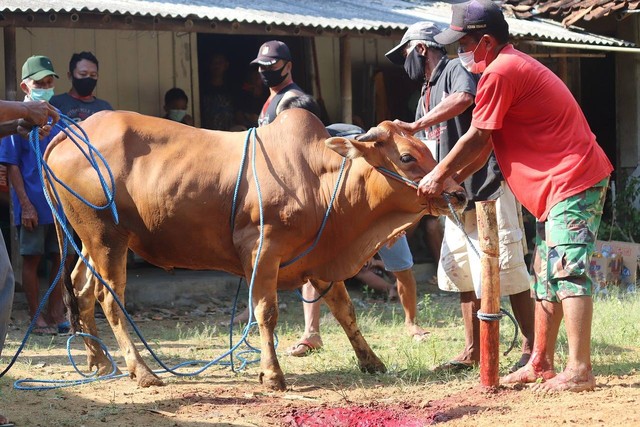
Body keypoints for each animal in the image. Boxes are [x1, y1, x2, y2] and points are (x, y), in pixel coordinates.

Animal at [45, 108, 464, 392]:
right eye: (406, 156)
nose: (458, 193)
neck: (319, 180)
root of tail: (70, 130)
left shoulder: (319, 261)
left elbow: (346, 313)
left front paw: (371, 360)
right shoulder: (263, 250)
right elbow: (266, 311)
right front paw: (272, 374)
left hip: (92, 241)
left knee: (82, 290)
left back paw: (99, 361)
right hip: (107, 237)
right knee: (108, 298)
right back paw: (143, 372)